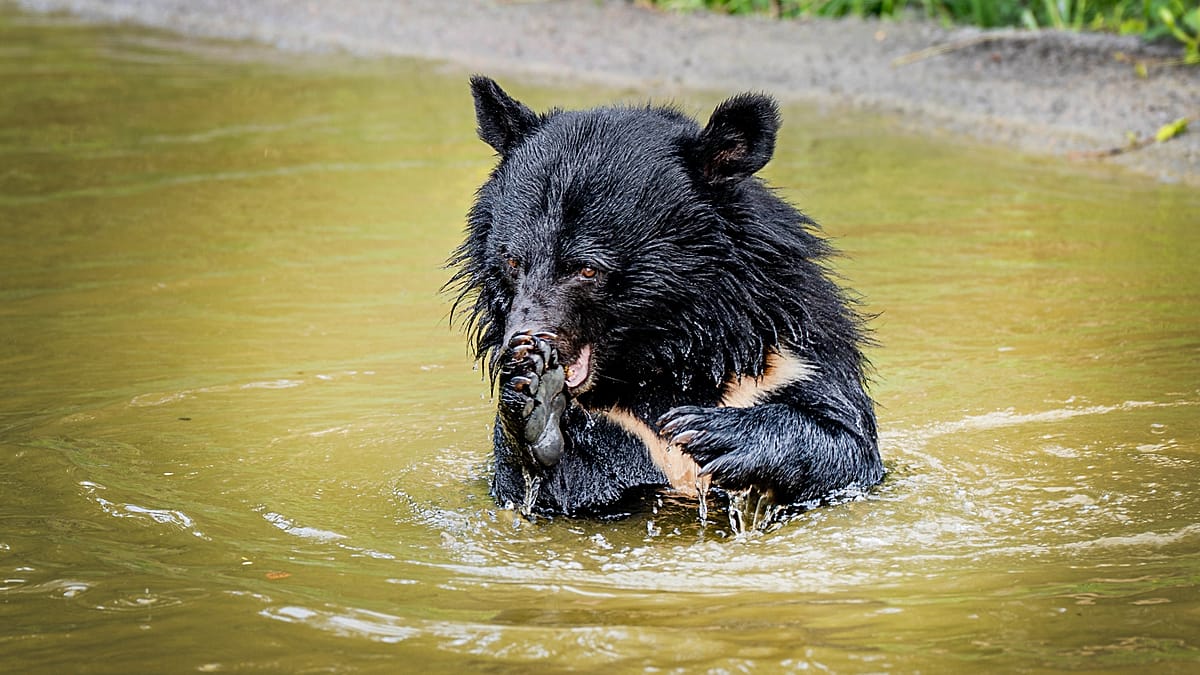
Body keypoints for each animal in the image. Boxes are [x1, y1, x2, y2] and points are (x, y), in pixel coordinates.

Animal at [448, 76, 884, 525]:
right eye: (513, 261)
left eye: (587, 269)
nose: (519, 346)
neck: (665, 355)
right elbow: (552, 491)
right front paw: (536, 404)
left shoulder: (788, 355)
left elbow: (844, 441)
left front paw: (713, 433)